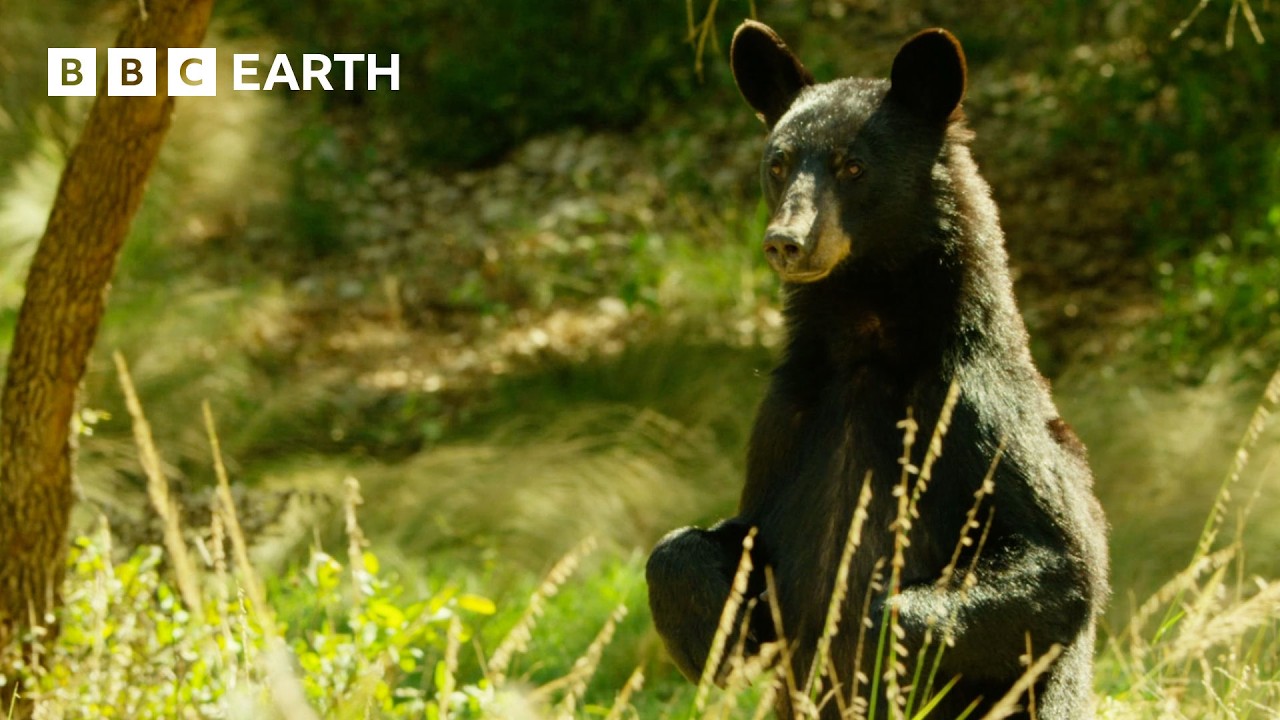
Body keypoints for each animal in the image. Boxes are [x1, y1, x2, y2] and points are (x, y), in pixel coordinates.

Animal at [645, 20, 1109, 720]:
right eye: (778, 163)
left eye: (853, 166)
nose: (787, 242)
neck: (866, 341)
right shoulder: (787, 419)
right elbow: (725, 538)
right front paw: (721, 642)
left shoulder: (976, 409)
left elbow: (1061, 562)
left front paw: (868, 638)